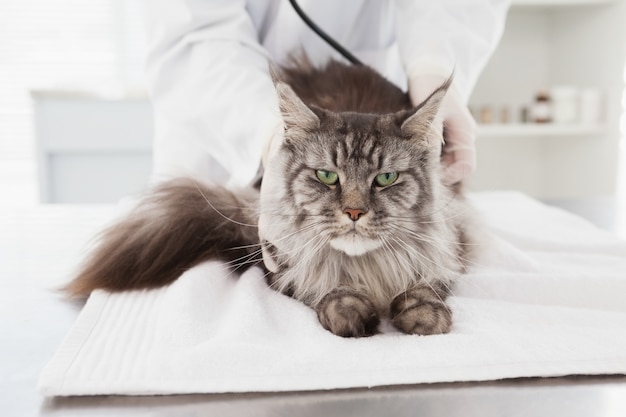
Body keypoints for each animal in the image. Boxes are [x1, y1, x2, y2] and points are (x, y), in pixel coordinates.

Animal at [66, 57, 476, 338]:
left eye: (386, 178)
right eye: (327, 176)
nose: (354, 212)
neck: (366, 268)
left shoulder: (448, 244)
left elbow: (425, 283)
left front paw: (425, 314)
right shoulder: (280, 264)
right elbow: (324, 287)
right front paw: (348, 310)